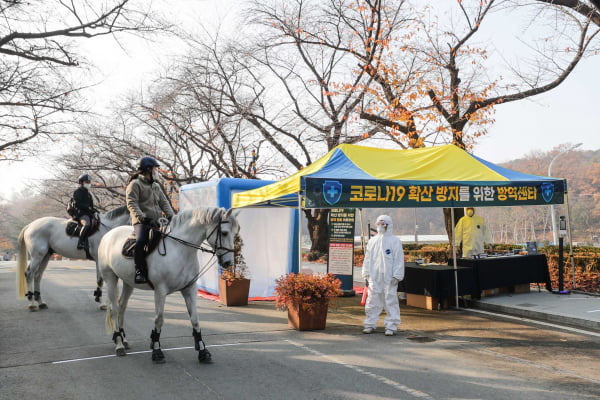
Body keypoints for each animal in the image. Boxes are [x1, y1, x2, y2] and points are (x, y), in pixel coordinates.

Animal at [99, 208, 239, 364]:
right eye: (224, 232)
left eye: (235, 232)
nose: (228, 263)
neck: (179, 249)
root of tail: (109, 234)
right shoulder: (160, 291)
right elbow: (159, 319)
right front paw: (156, 350)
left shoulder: (189, 289)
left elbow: (195, 319)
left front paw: (203, 351)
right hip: (110, 278)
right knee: (115, 309)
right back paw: (119, 344)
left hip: (128, 282)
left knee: (122, 306)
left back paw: (124, 339)